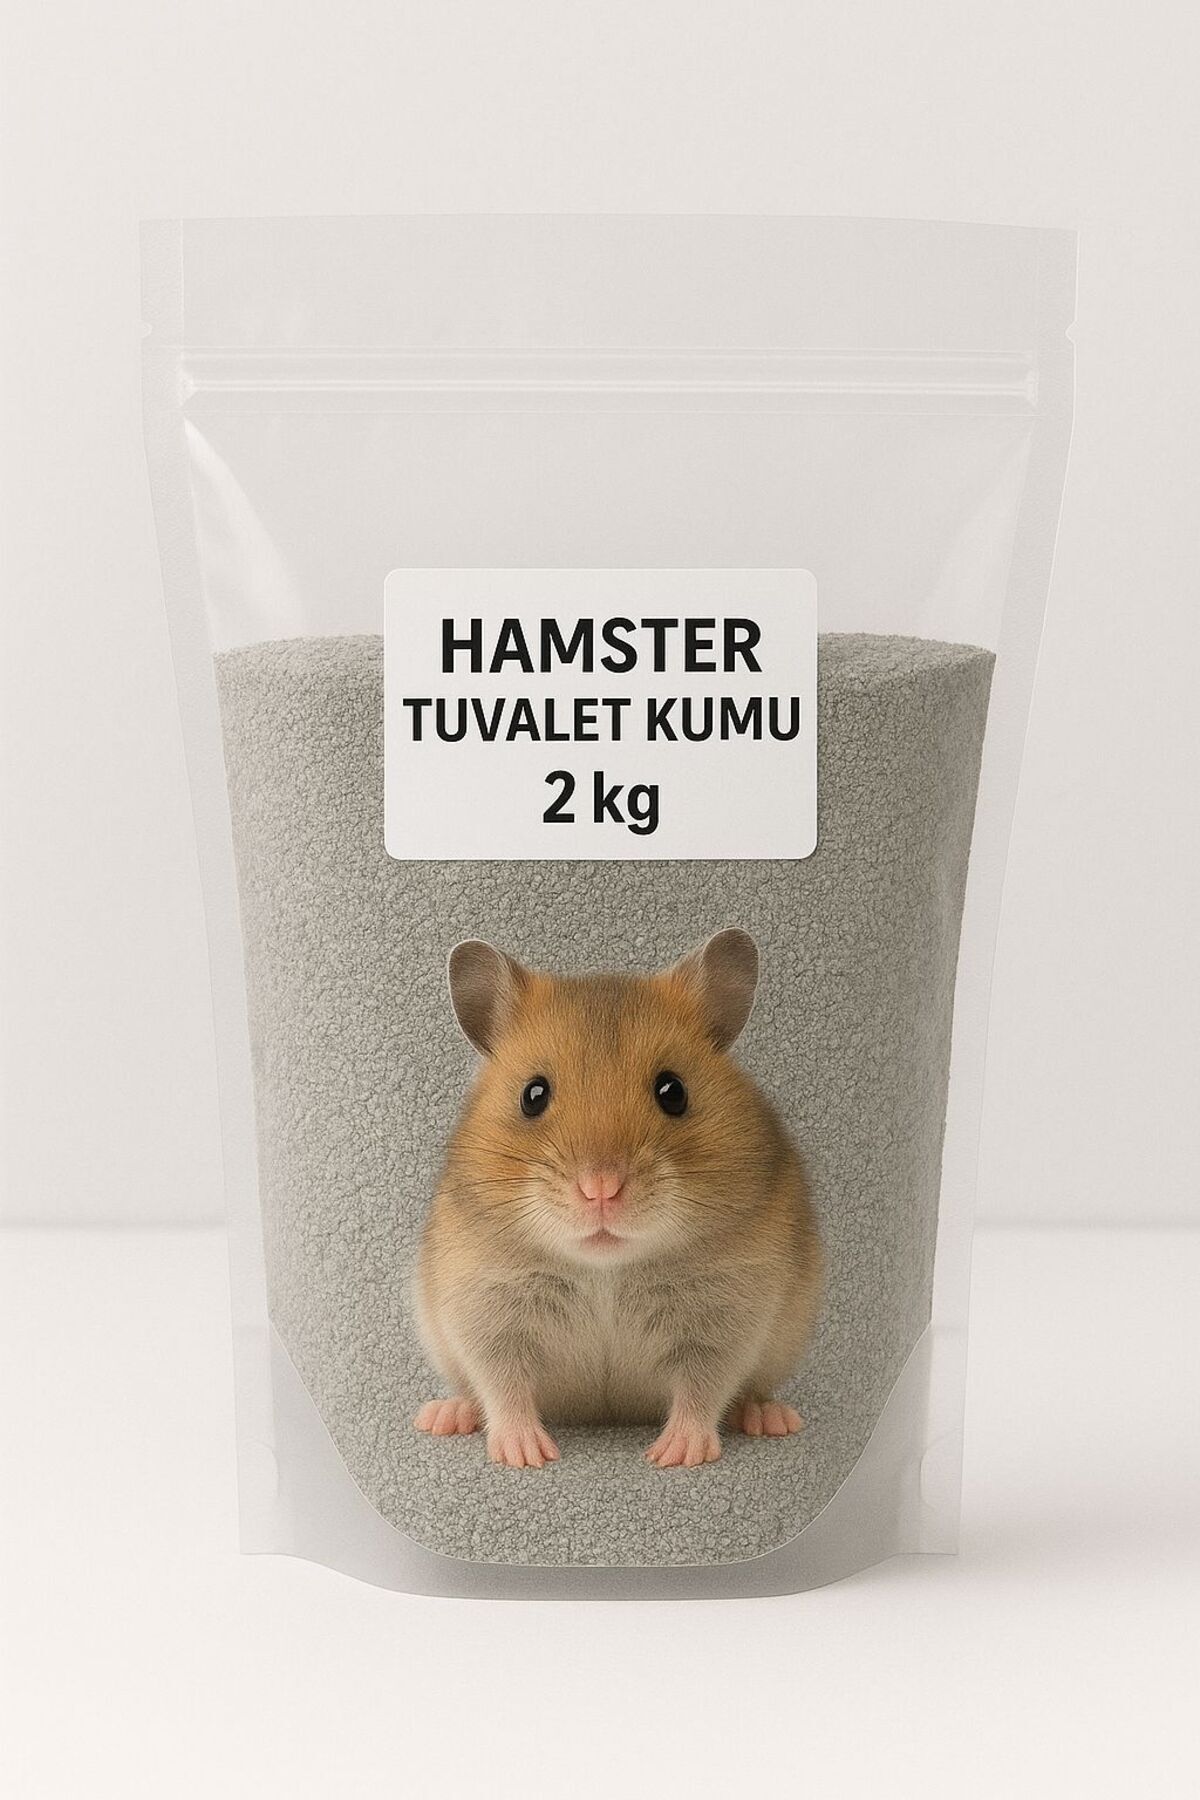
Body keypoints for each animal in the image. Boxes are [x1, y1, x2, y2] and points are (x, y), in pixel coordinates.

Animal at [413, 929, 822, 1469]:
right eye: (532, 1095)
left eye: (673, 1091)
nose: (601, 1188)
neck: (605, 1268)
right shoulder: (486, 1312)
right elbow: (503, 1387)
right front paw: (527, 1456)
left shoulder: (727, 1317)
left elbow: (702, 1390)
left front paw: (674, 1456)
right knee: (468, 1391)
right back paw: (442, 1416)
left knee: (749, 1393)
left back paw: (771, 1419)